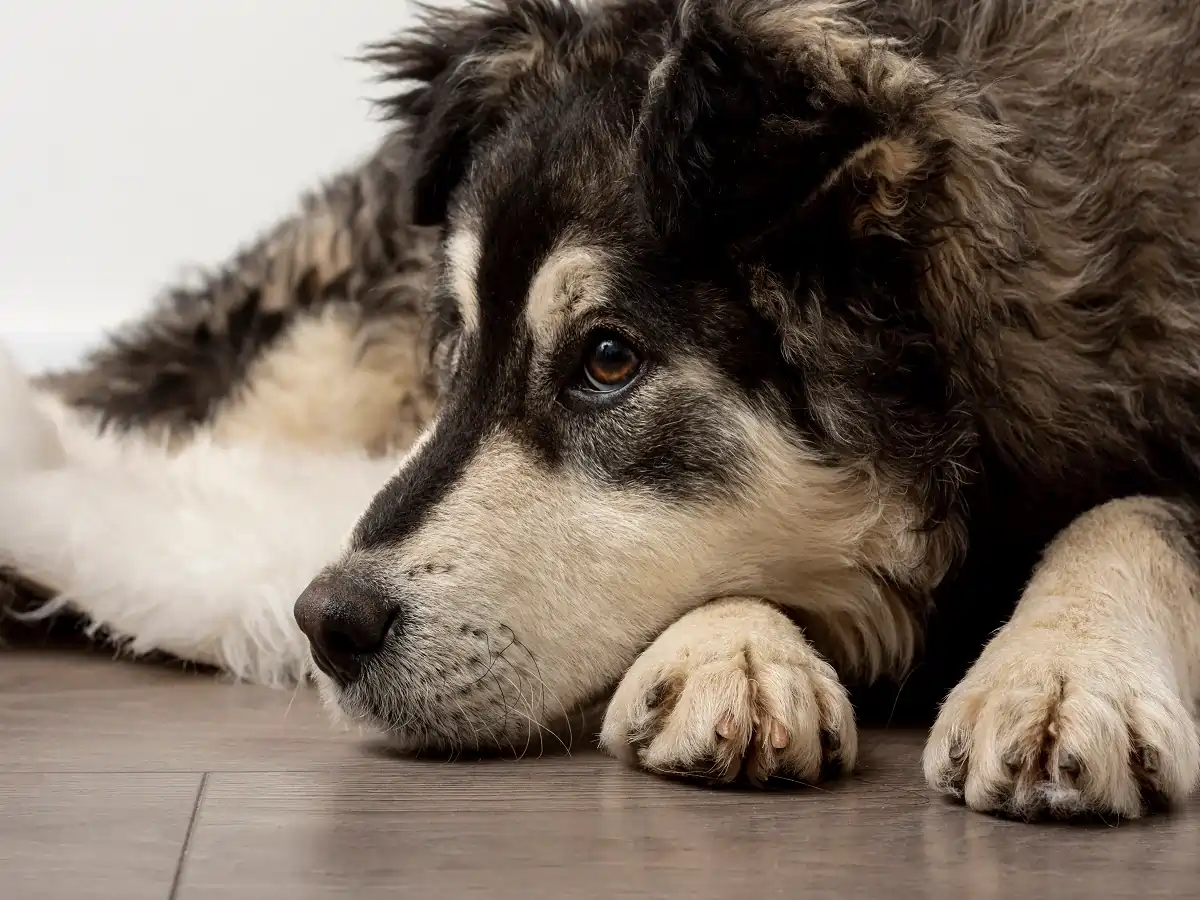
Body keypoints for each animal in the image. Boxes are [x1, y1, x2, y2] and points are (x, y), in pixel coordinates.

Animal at [2, 0, 1200, 820]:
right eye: (458, 346)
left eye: (609, 361)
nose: (326, 624)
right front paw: (729, 653)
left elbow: (1132, 513)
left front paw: (1062, 672)